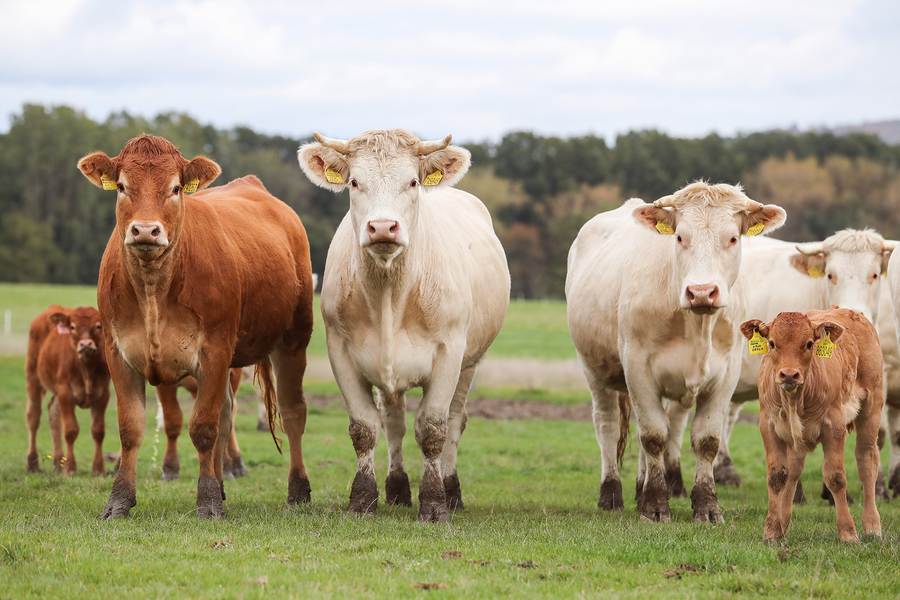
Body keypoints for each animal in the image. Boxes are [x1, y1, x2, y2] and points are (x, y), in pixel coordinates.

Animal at [24, 308, 110, 476]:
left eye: (98, 326)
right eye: (72, 326)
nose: (86, 344)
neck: (86, 371)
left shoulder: (103, 395)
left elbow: (98, 431)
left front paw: (98, 469)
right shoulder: (66, 393)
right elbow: (71, 430)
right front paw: (70, 468)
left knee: (53, 413)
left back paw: (58, 462)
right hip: (33, 377)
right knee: (33, 417)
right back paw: (32, 463)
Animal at [78, 134, 316, 516]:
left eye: (175, 188)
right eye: (122, 186)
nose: (146, 230)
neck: (153, 289)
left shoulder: (214, 350)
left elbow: (203, 428)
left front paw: (207, 502)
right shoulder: (120, 353)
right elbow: (131, 429)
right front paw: (119, 501)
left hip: (293, 339)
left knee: (293, 412)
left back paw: (297, 490)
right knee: (227, 414)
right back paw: (221, 483)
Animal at [298, 130, 510, 520]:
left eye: (412, 182)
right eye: (354, 182)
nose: (383, 227)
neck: (389, 292)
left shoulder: (449, 354)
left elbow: (433, 430)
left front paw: (434, 503)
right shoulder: (341, 353)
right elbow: (365, 427)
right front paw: (362, 499)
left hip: (470, 363)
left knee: (455, 420)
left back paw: (451, 489)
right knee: (393, 421)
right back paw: (397, 488)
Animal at [568, 182, 788, 520]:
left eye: (733, 238)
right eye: (680, 237)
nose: (702, 292)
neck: (697, 325)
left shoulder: (725, 375)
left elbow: (706, 440)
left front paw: (706, 505)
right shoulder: (638, 368)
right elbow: (654, 437)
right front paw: (656, 504)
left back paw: (640, 489)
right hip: (595, 369)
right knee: (607, 425)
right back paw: (611, 494)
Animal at [740, 310, 884, 544]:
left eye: (808, 343)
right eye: (772, 343)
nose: (789, 375)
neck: (795, 399)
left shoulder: (834, 426)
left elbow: (835, 477)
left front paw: (848, 533)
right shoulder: (768, 426)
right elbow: (777, 477)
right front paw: (772, 531)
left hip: (872, 410)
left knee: (867, 461)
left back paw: (872, 525)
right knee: (793, 470)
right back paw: (783, 522)